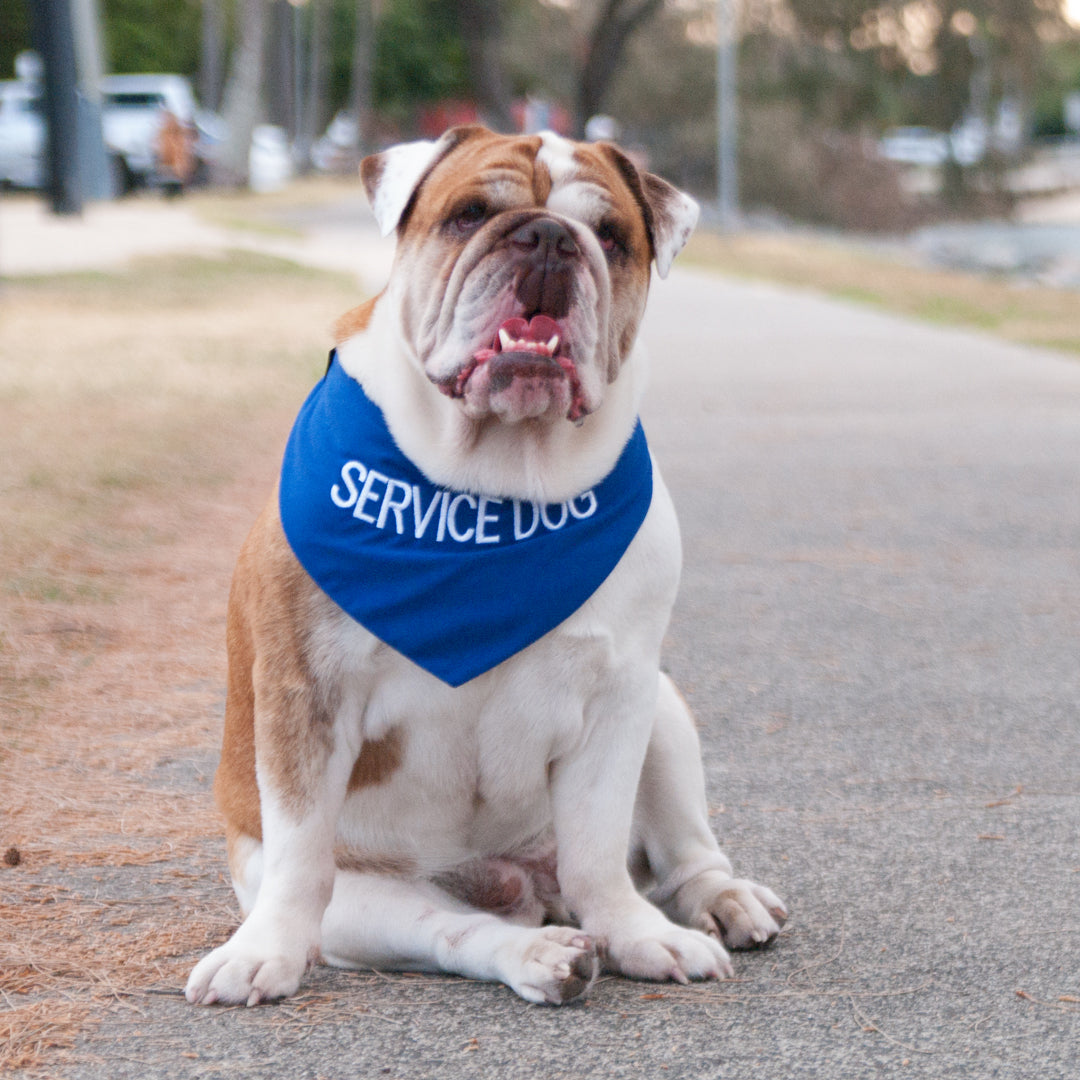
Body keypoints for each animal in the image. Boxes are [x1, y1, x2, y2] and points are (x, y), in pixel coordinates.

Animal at [185, 128, 786, 1010]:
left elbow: (599, 847)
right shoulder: (307, 688)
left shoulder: (621, 695)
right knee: (450, 929)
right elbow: (299, 850)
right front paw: (264, 951)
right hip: (365, 905)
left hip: (667, 714)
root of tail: (524, 887)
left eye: (610, 236)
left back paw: (712, 902)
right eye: (468, 214)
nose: (548, 238)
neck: (494, 488)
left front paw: (638, 935)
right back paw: (541, 955)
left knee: (672, 857)